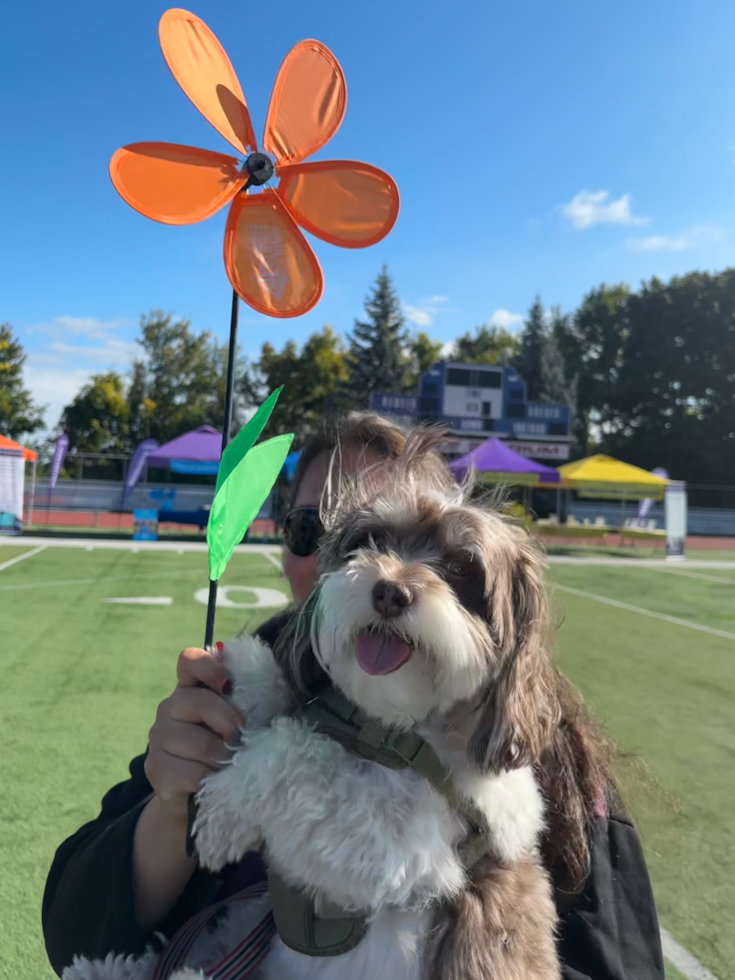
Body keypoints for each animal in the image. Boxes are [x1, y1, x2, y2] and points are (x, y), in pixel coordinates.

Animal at [64, 434, 580, 980]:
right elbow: (294, 710)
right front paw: (247, 671)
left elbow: (295, 755)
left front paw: (221, 809)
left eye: (463, 567)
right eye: (373, 540)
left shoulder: (396, 847)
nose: (390, 591)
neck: (389, 730)